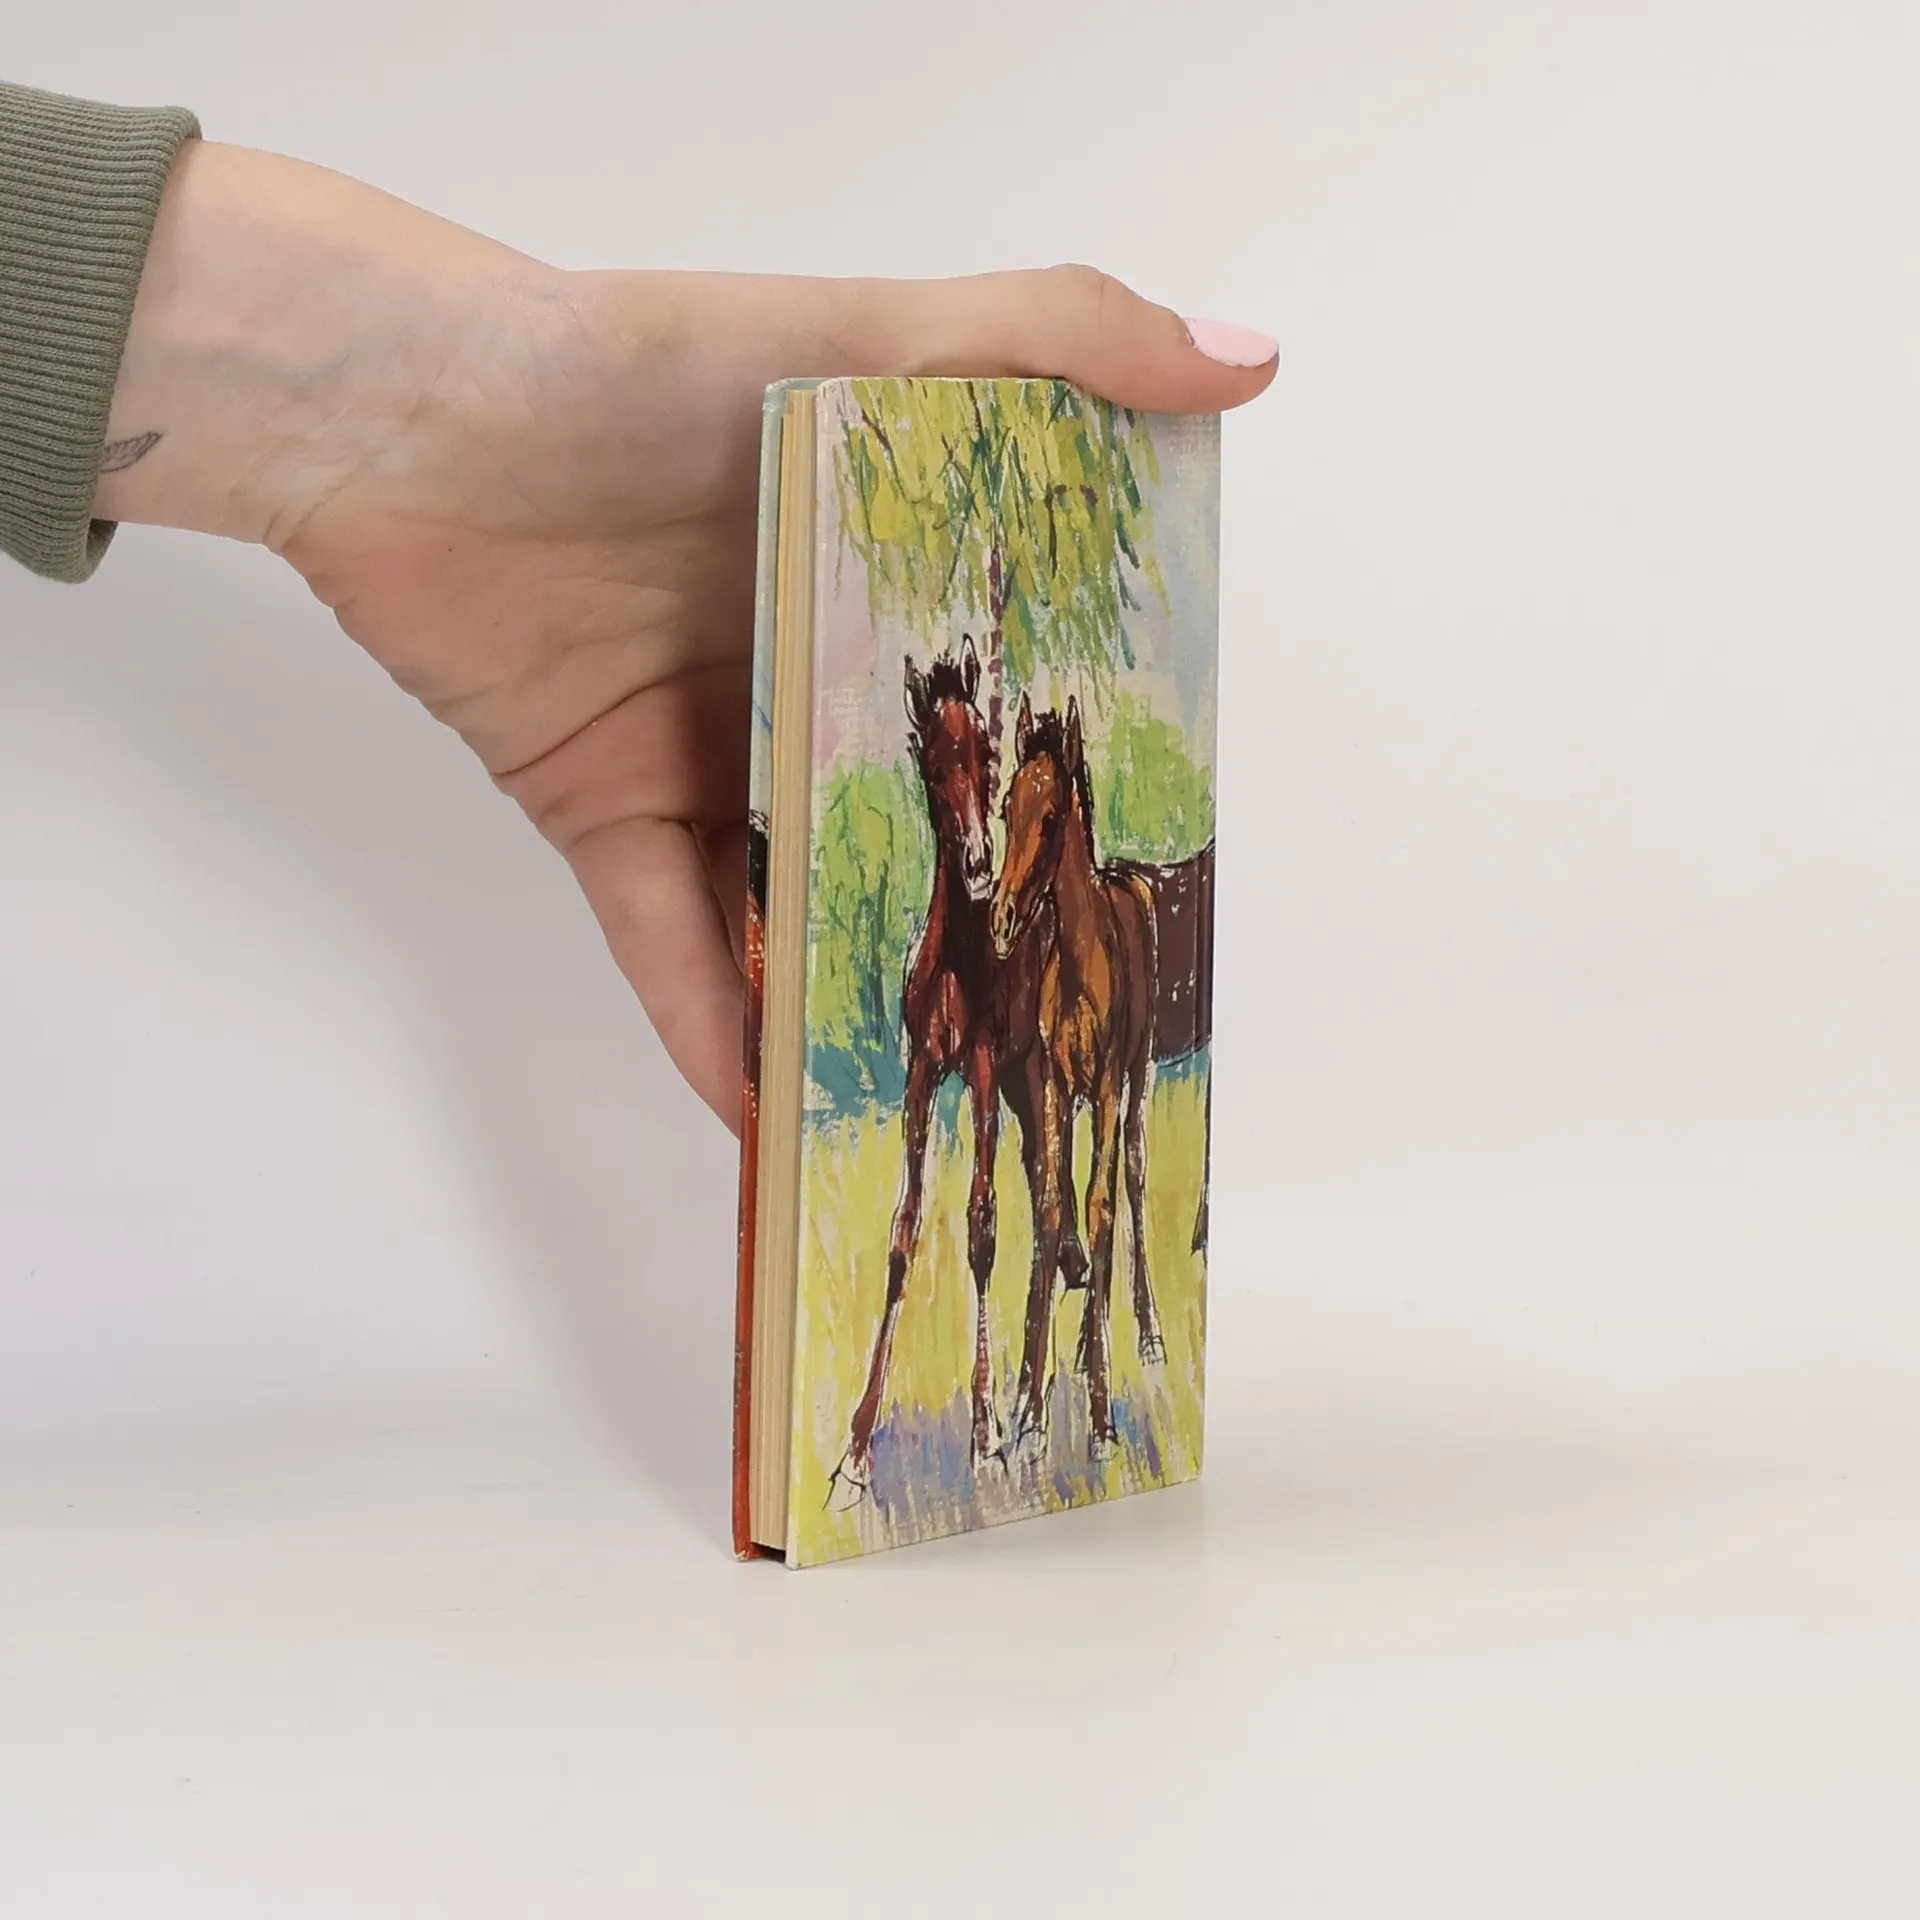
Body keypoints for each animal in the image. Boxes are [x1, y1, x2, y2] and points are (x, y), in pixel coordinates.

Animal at [833, 639, 1085, 1501]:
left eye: (986, 751)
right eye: (935, 764)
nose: (979, 865)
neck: (961, 953)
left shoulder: (977, 1070)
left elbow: (981, 1227)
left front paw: (984, 1434)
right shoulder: (922, 1070)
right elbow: (904, 1231)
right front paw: (855, 1450)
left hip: (1031, 1078)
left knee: (1047, 1198)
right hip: (1017, 1089)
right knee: (1046, 1191)